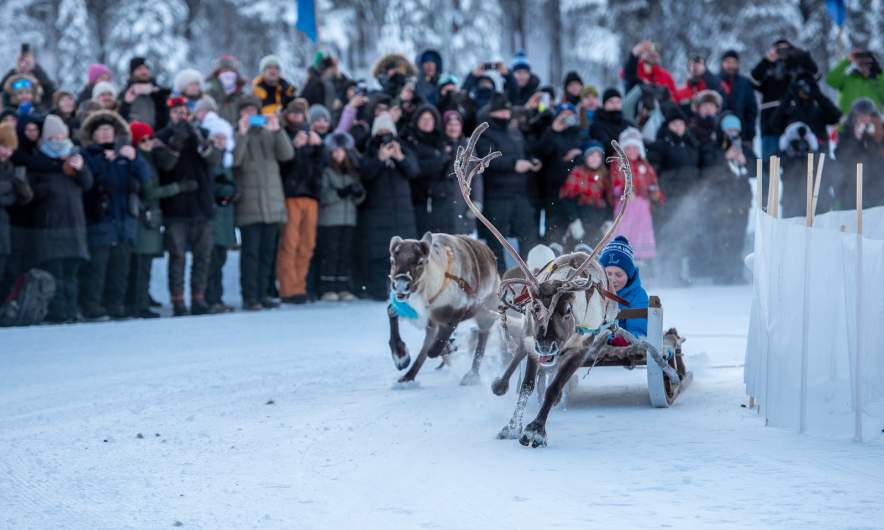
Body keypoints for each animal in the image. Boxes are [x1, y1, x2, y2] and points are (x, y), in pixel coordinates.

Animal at [387, 230, 500, 387]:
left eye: (421, 262)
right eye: (392, 260)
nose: (401, 285)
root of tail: (491, 256)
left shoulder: (454, 313)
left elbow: (434, 349)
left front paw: (449, 347)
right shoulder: (414, 310)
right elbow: (391, 312)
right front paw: (401, 357)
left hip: (486, 311)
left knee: (482, 338)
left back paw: (471, 375)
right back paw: (407, 377)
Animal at [454, 123, 639, 448]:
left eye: (567, 311)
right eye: (535, 308)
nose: (547, 344)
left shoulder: (580, 349)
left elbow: (554, 388)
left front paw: (535, 431)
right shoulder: (531, 338)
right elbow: (527, 384)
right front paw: (512, 426)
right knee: (519, 361)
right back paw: (500, 383)